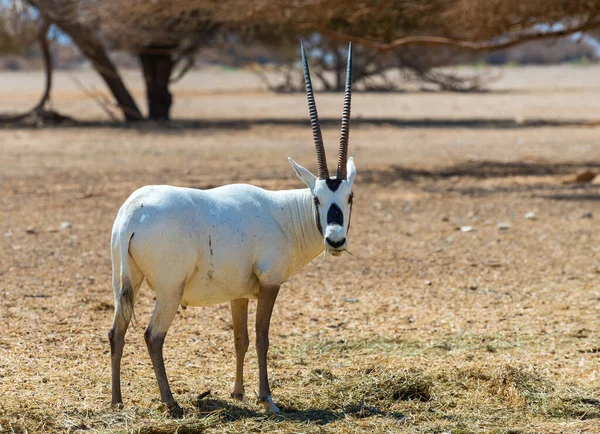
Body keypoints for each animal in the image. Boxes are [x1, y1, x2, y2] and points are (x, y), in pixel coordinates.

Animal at [109, 41, 356, 418]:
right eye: (317, 198)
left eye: (349, 196)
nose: (336, 240)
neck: (283, 212)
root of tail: (131, 217)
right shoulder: (269, 284)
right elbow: (262, 338)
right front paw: (267, 399)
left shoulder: (238, 293)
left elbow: (240, 338)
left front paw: (238, 393)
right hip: (169, 290)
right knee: (153, 335)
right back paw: (171, 403)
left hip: (126, 282)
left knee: (116, 332)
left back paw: (117, 400)